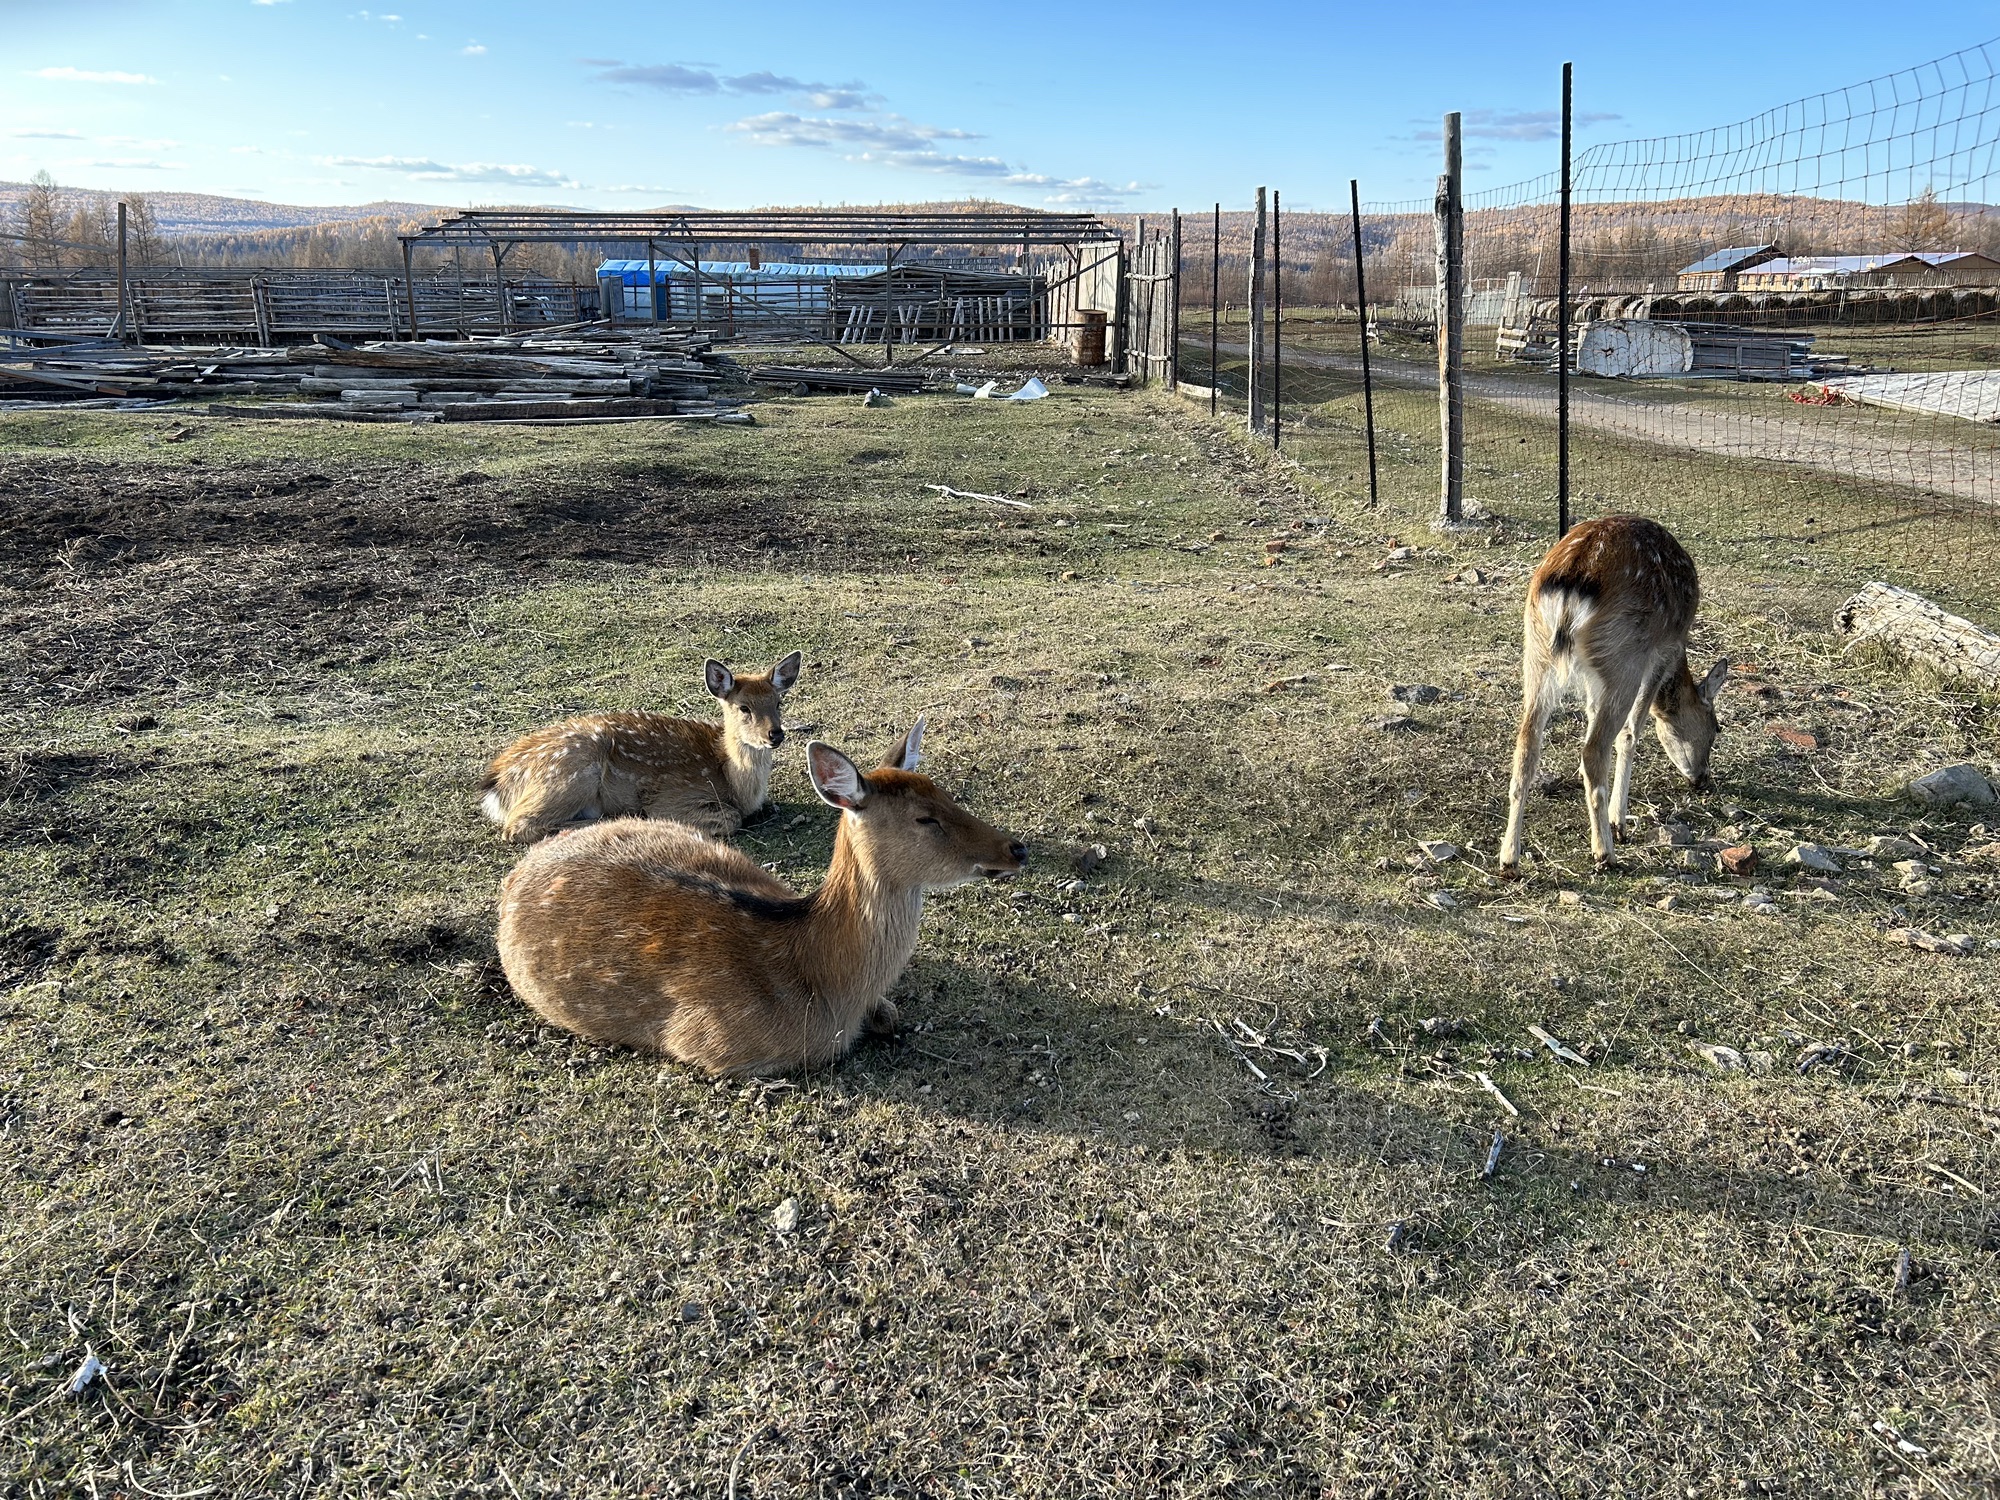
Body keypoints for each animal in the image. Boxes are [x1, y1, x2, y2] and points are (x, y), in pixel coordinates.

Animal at [480, 652, 802, 844]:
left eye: (778, 702)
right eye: (744, 707)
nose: (775, 734)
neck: (732, 780)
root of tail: (497, 779)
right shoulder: (672, 797)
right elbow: (731, 818)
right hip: (571, 772)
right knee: (518, 825)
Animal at [495, 719, 1028, 1077]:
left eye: (946, 794)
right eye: (925, 818)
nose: (1015, 847)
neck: (828, 987)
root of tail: (516, 876)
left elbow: (891, 1014)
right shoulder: (713, 1045)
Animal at [1498, 515, 1728, 875]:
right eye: (1716, 727)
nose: (1703, 777)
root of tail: (1570, 581)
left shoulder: (1595, 680)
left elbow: (1592, 712)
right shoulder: (1661, 651)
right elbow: (1633, 730)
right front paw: (1617, 820)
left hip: (1536, 651)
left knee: (1527, 743)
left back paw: (1509, 857)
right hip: (1623, 657)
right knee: (1595, 748)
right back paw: (1605, 851)